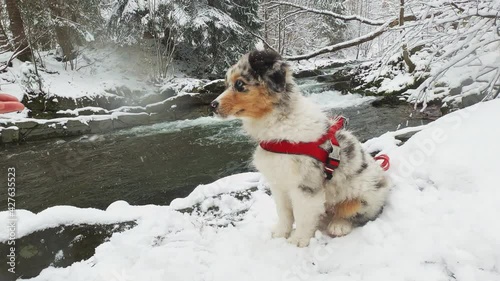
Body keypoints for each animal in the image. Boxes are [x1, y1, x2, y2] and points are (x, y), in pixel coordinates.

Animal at [211, 49, 390, 246]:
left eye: (240, 84)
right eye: (226, 84)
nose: (212, 105)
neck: (279, 124)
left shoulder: (305, 184)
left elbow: (303, 215)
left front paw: (297, 241)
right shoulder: (279, 183)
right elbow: (284, 213)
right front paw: (280, 234)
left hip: (365, 195)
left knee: (356, 213)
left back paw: (339, 225)